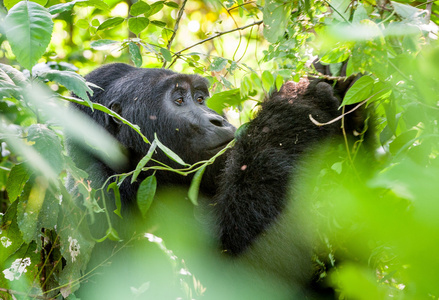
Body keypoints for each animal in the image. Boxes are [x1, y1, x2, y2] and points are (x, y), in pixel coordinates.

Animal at [66, 62, 368, 298]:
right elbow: (253, 278)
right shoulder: (94, 192)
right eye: (179, 100)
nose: (217, 120)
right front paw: (294, 105)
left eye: (200, 98)